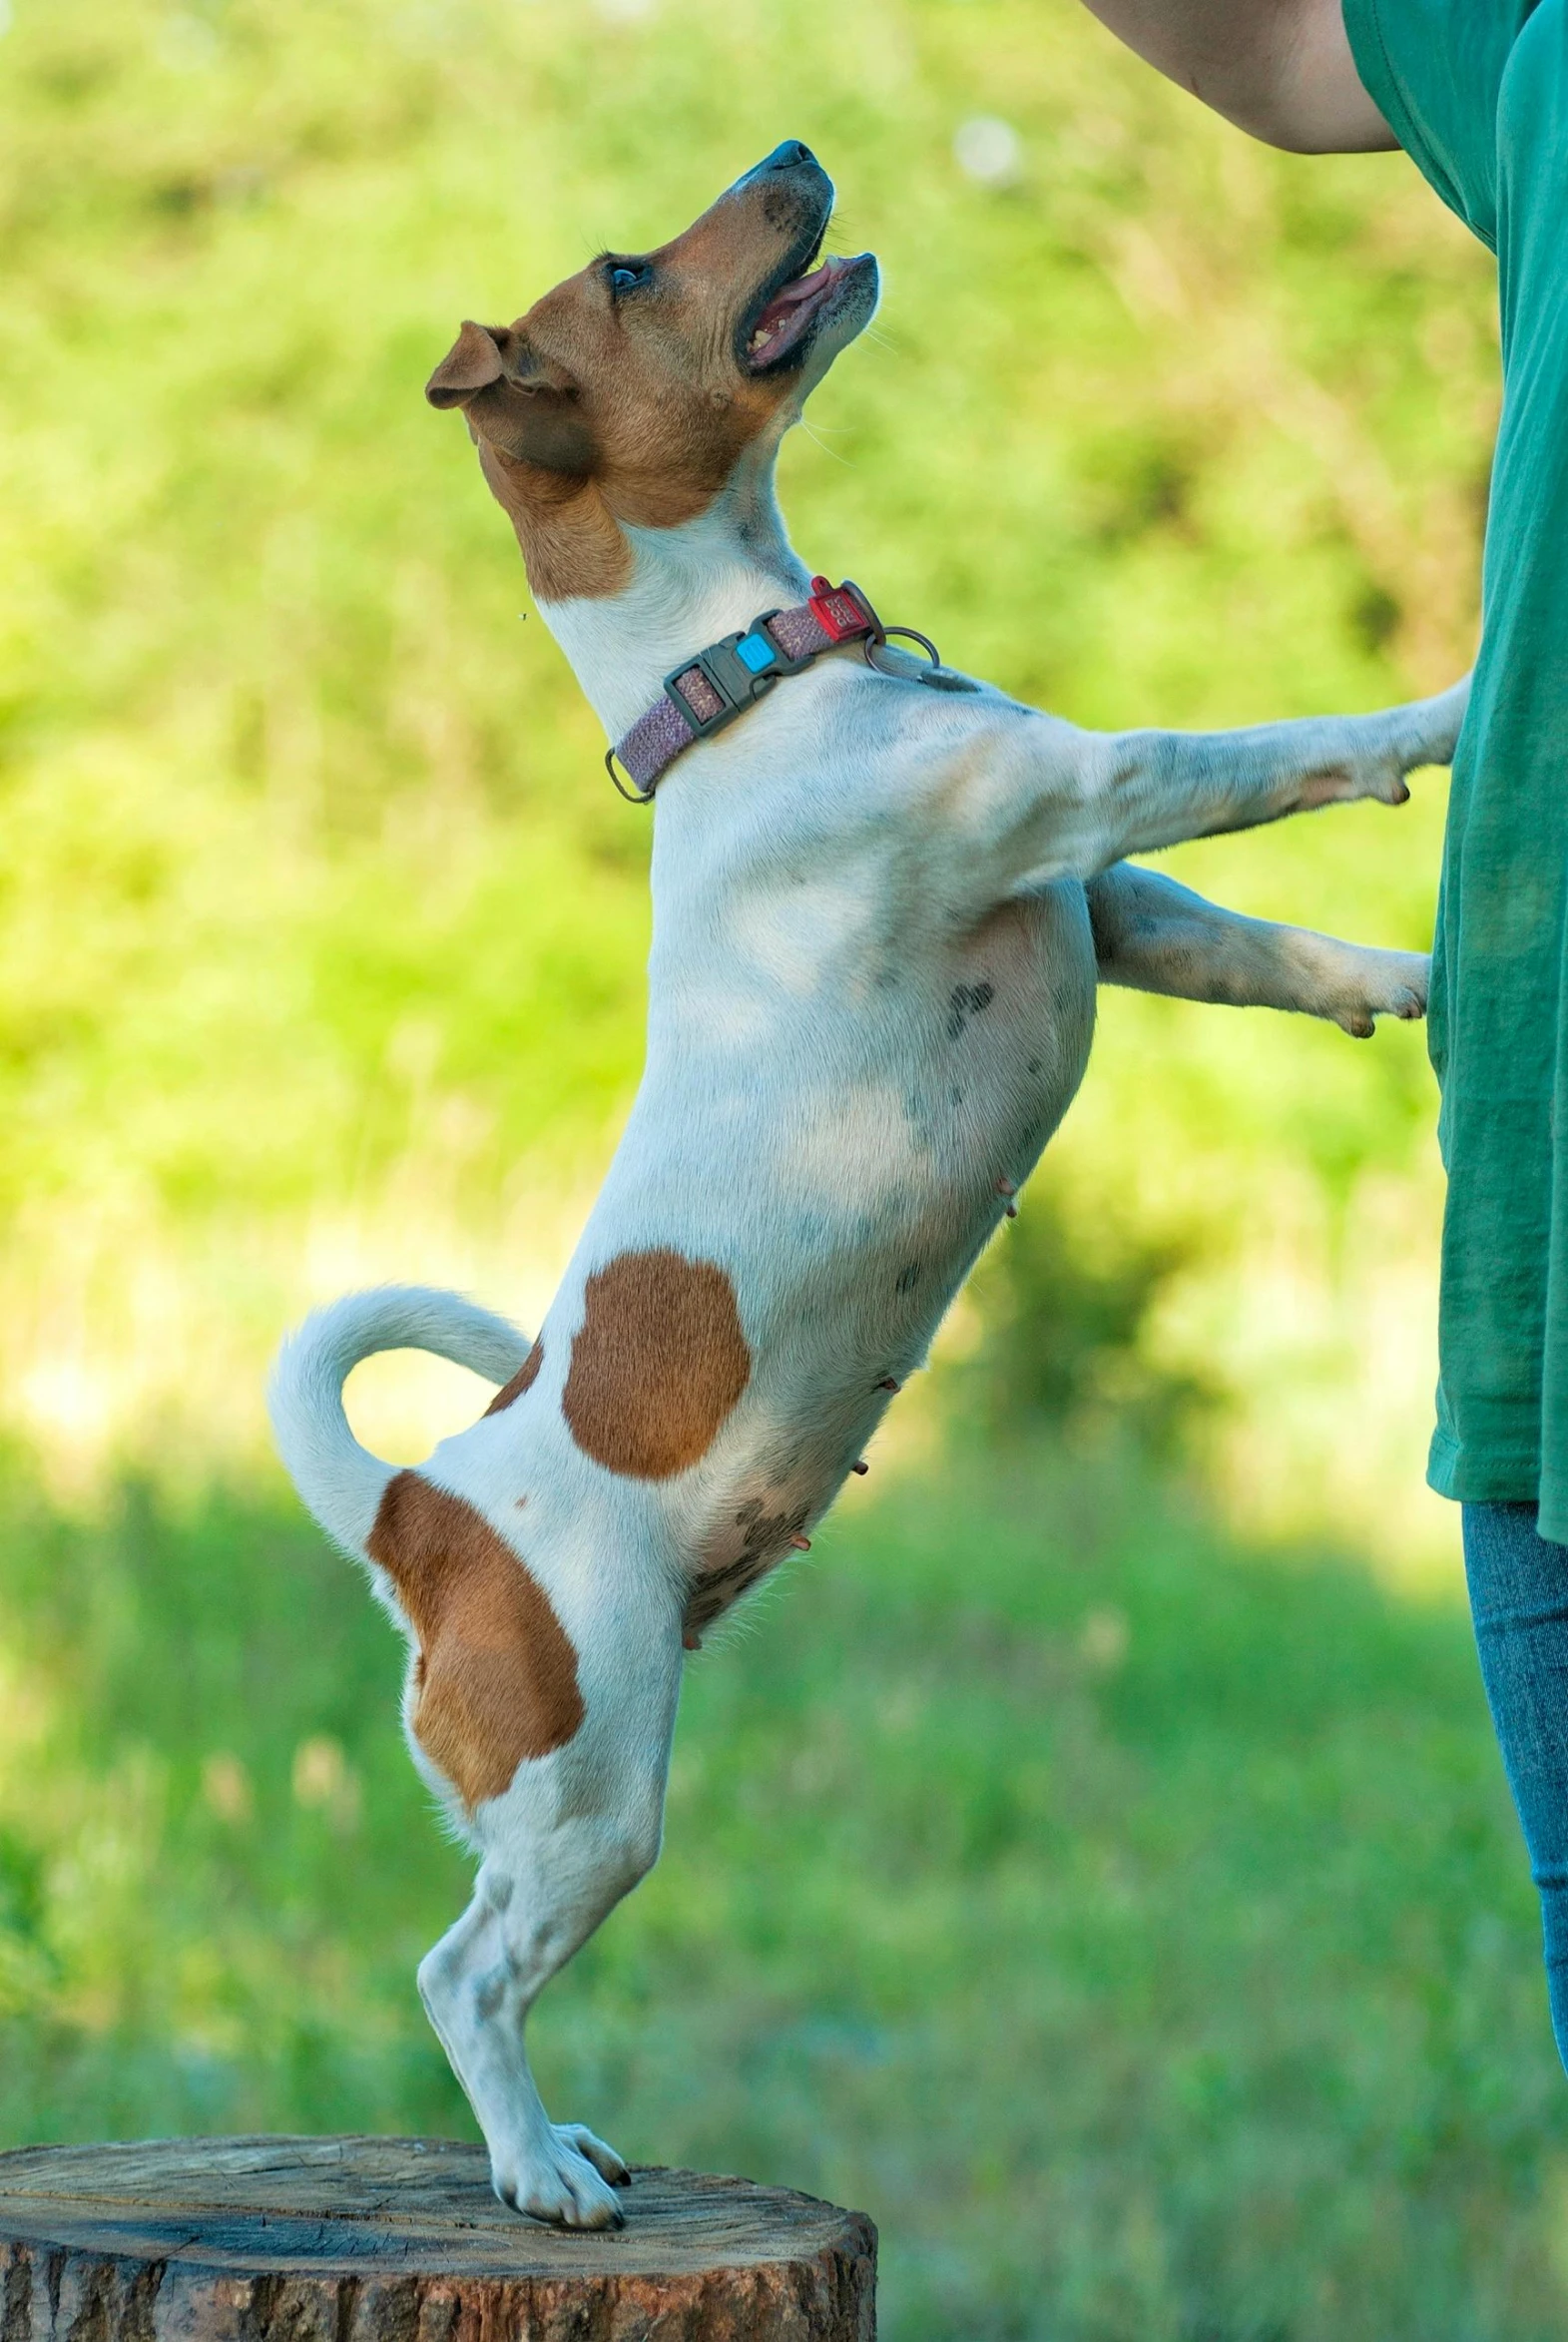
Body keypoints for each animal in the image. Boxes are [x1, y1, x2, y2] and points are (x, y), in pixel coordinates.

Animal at [269, 137, 1478, 2220]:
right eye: (626, 265)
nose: (793, 155)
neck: (744, 687)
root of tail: (419, 1513)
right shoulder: (1078, 799)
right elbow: (1264, 748)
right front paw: (1451, 710)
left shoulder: (1105, 901)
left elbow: (1255, 945)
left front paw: (1400, 988)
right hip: (594, 1788)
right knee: (460, 1971)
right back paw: (537, 2165)